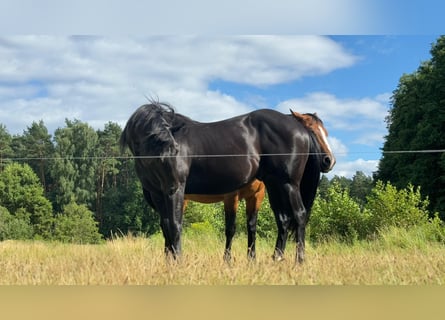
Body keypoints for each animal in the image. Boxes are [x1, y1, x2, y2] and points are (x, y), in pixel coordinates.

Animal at [119, 101, 334, 264]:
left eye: (169, 136)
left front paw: (178, 261)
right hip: (276, 185)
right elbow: (166, 226)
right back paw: (277, 259)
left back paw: (299, 260)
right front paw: (169, 262)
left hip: (289, 184)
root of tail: (298, 128)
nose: (328, 160)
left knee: (299, 215)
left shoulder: (176, 190)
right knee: (283, 219)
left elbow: (175, 224)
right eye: (153, 137)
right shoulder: (159, 193)